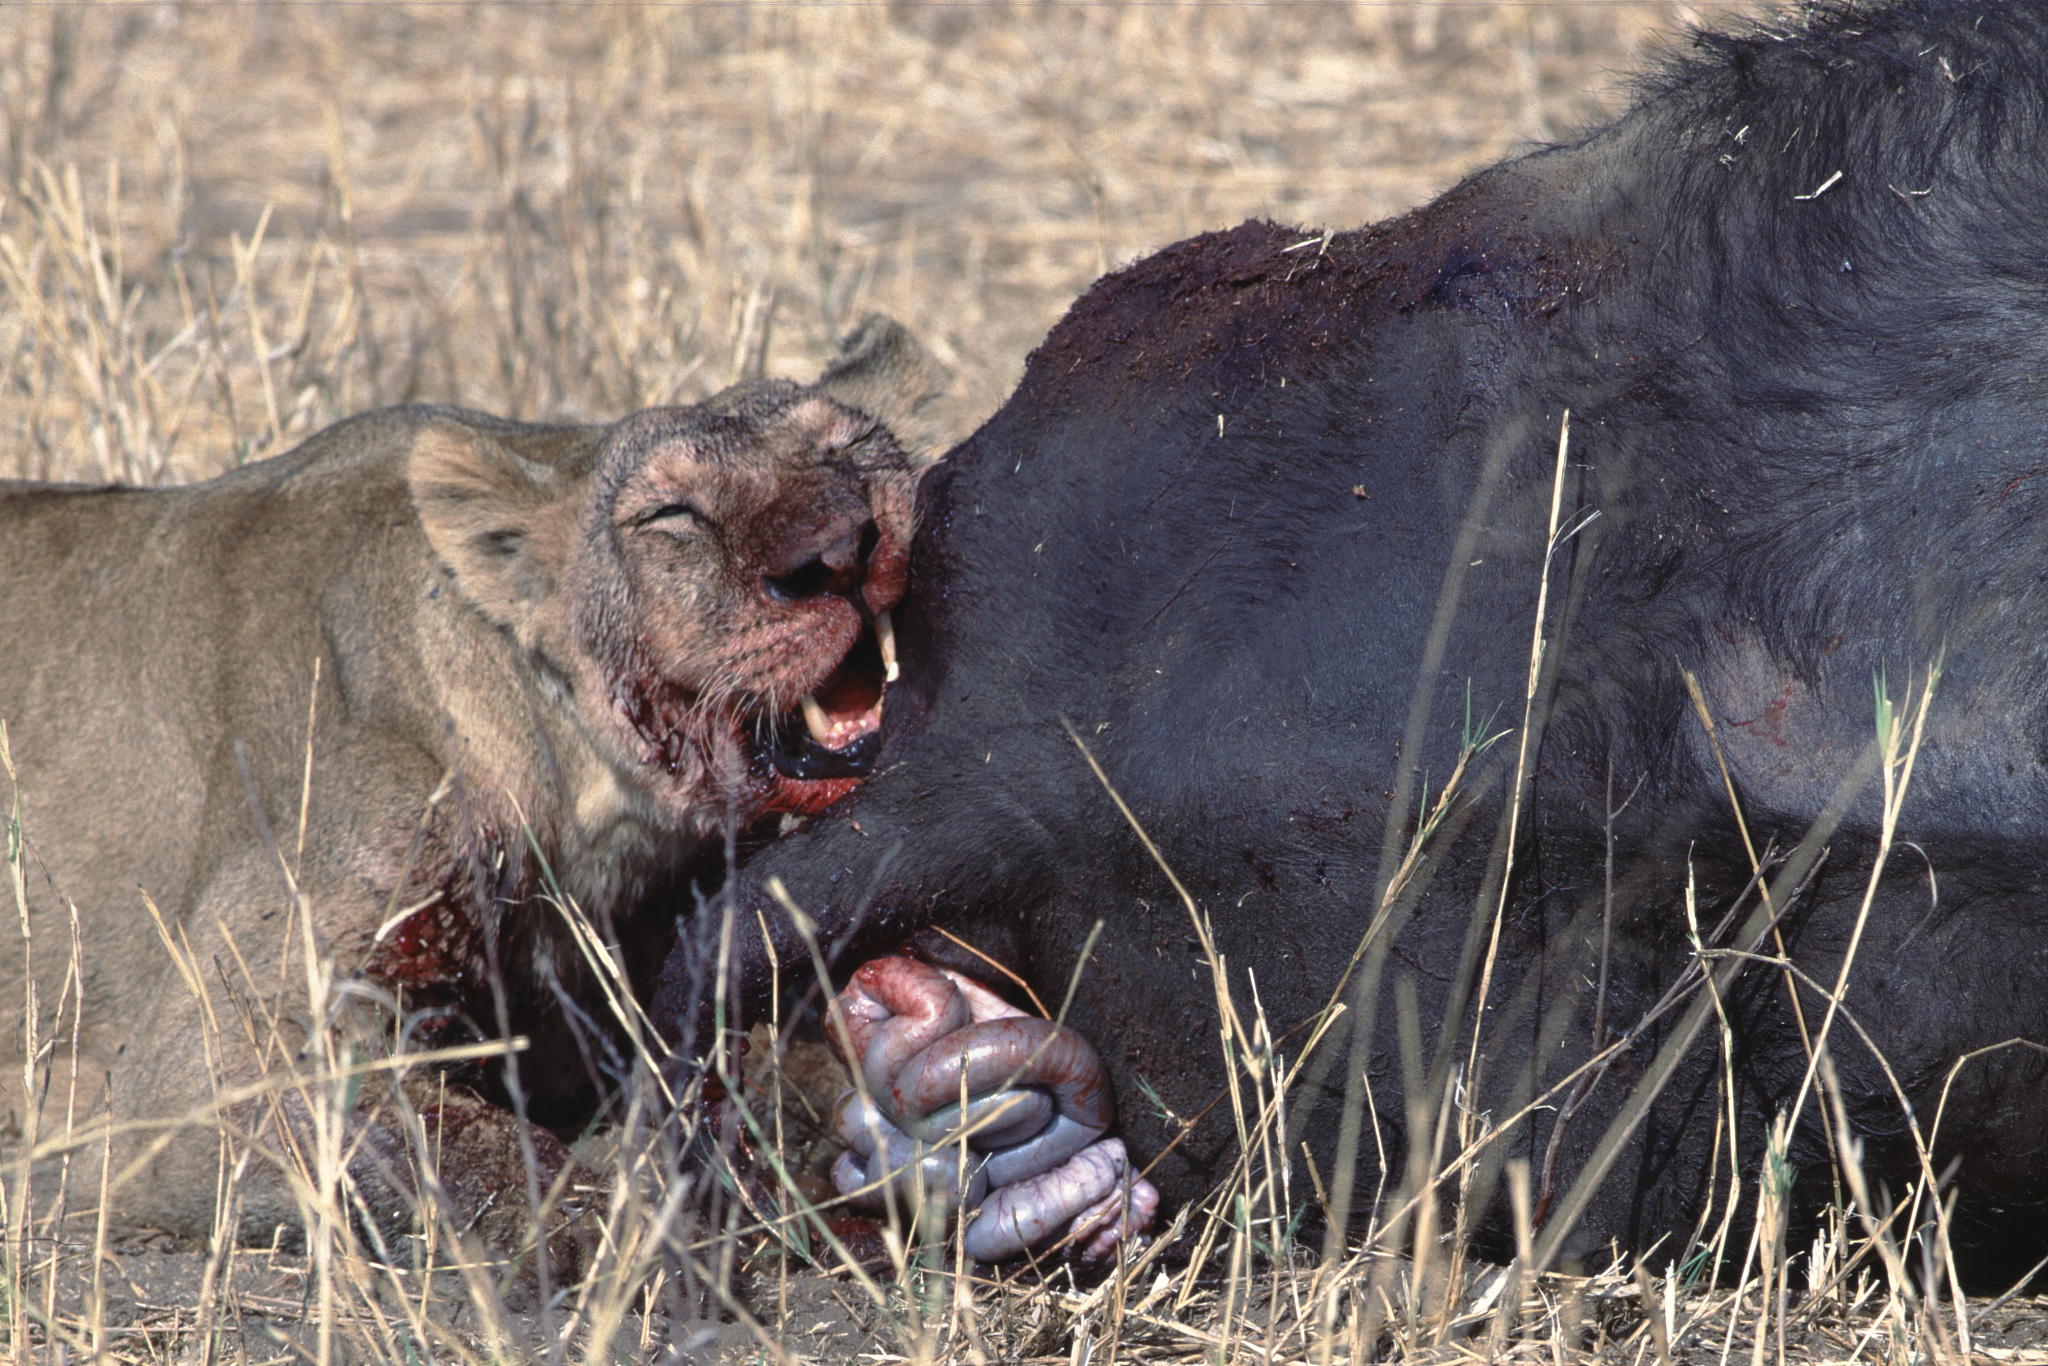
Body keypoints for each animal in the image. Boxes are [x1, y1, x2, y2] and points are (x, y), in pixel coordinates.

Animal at [0, 318, 941, 1270]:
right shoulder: (197, 1072)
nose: (839, 551)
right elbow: (467, 1151)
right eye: (671, 515)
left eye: (847, 447)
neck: (599, 818)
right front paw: (644, 1234)